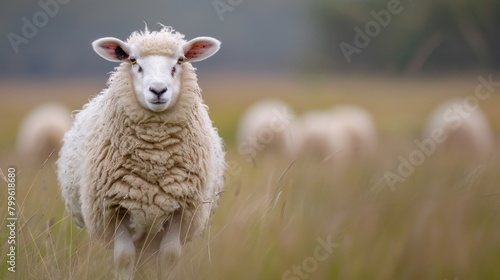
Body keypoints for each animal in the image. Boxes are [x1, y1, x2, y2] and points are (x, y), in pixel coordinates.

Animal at [56, 25, 225, 278]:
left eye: (180, 60)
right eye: (133, 60)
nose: (158, 90)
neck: (154, 156)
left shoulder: (181, 208)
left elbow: (169, 257)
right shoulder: (114, 209)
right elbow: (124, 258)